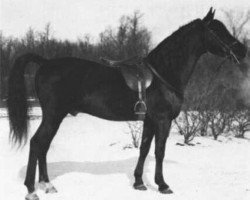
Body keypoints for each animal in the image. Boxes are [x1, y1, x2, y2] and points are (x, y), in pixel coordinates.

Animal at [7, 7, 246, 200]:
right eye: (217, 31)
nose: (242, 51)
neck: (163, 74)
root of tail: (45, 62)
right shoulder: (163, 121)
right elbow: (159, 151)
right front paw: (162, 185)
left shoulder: (149, 121)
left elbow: (144, 149)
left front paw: (139, 183)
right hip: (53, 115)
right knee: (37, 143)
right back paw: (32, 190)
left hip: (55, 116)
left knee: (43, 146)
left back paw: (47, 185)